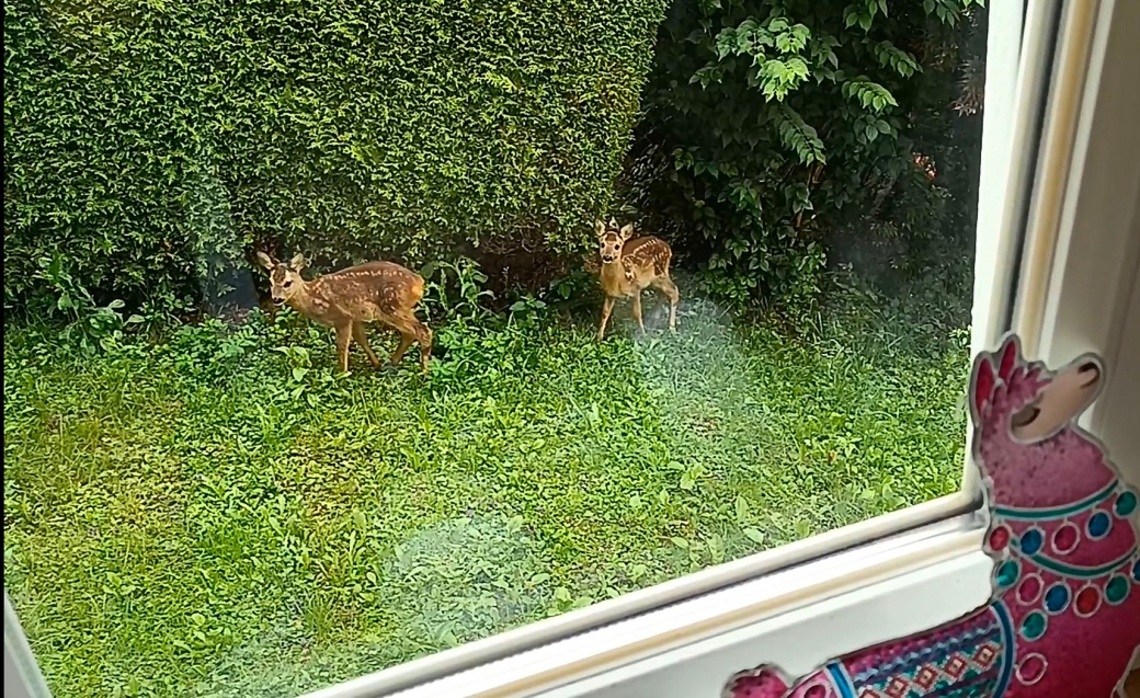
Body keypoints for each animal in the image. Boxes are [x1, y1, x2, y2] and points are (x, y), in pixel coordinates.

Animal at [256, 252, 432, 374]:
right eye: (270, 282)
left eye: (287, 283)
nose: (276, 299)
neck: (313, 296)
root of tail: (419, 282)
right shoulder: (354, 317)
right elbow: (362, 339)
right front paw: (376, 364)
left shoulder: (342, 316)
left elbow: (342, 346)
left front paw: (342, 374)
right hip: (400, 308)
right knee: (410, 333)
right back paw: (392, 363)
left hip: (393, 306)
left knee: (423, 330)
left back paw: (423, 373)